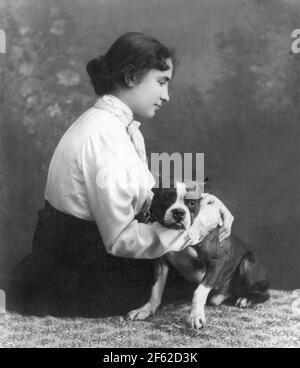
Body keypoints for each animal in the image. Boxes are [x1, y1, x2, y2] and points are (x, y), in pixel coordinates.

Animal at [127, 180, 270, 330]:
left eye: (192, 202)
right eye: (166, 198)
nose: (179, 212)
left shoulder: (217, 261)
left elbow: (199, 291)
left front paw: (195, 316)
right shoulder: (160, 262)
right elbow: (156, 289)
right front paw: (146, 309)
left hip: (247, 264)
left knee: (266, 293)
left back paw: (247, 299)